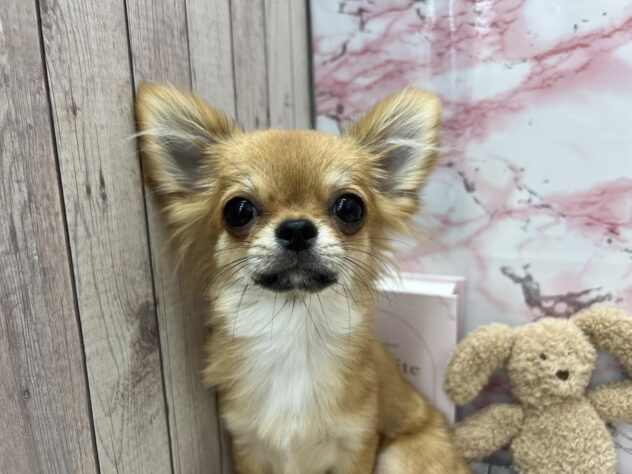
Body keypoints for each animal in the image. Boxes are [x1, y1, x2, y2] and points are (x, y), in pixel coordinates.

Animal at [136, 83, 471, 474]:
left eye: (350, 207)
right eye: (238, 210)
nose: (296, 228)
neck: (293, 329)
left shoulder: (357, 444)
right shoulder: (247, 447)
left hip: (400, 454)